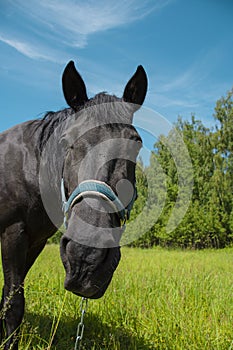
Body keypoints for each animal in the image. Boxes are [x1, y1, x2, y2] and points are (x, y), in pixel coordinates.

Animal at [0, 61, 147, 348]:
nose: (87, 257)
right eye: (66, 140)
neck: (27, 168)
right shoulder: (13, 233)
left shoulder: (35, 241)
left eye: (136, 142)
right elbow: (13, 301)